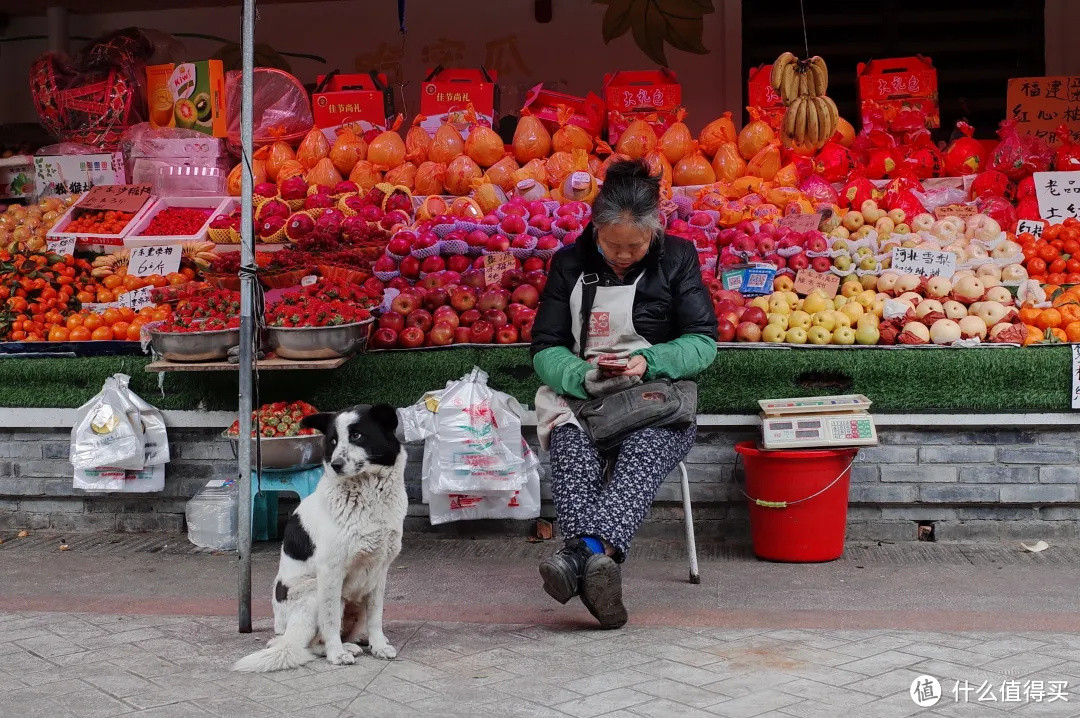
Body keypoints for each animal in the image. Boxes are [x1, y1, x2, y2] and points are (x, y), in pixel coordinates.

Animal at [234, 403, 406, 673]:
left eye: (357, 435)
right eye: (333, 441)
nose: (335, 464)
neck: (368, 497)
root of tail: (283, 633)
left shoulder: (380, 571)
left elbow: (376, 615)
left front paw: (378, 646)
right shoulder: (330, 571)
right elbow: (330, 620)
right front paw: (336, 655)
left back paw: (356, 642)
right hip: (314, 592)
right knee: (312, 642)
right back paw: (340, 649)